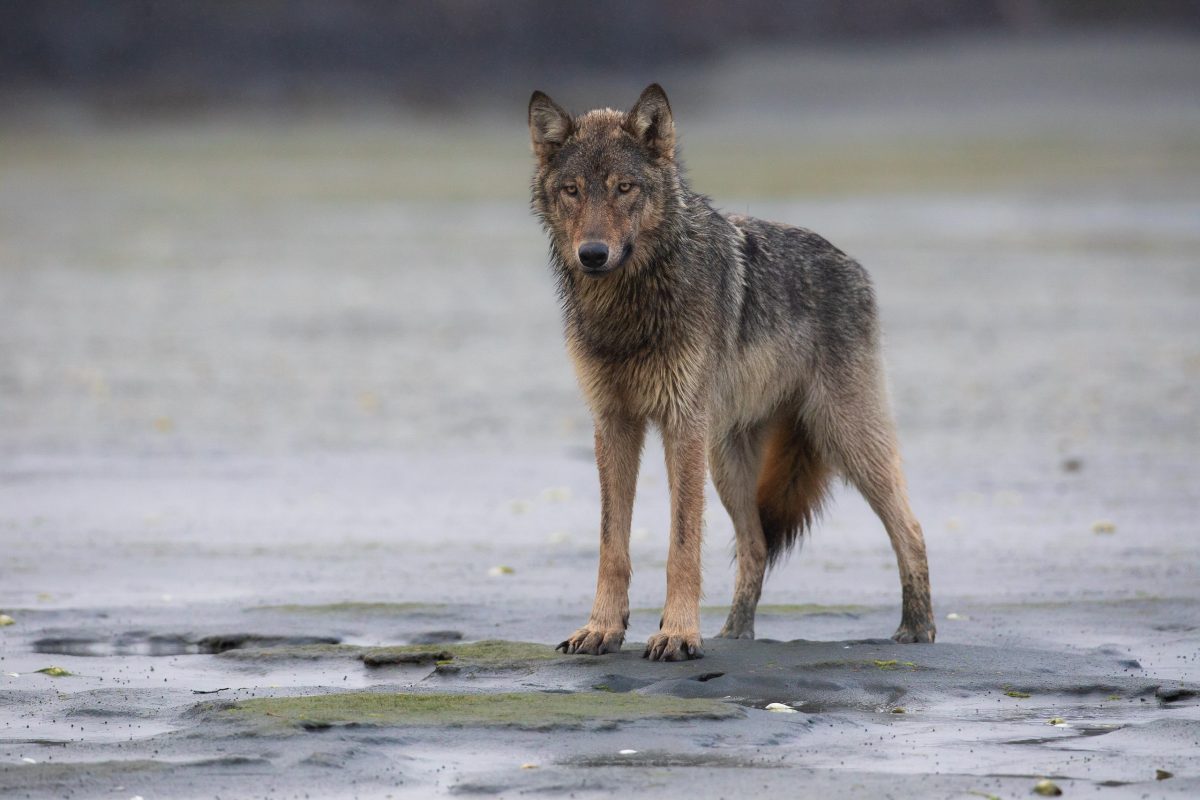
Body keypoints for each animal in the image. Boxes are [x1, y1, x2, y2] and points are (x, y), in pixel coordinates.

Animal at [528, 84, 935, 662]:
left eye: (624, 188)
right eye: (572, 191)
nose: (593, 254)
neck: (631, 304)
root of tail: (852, 264)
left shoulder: (682, 426)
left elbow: (681, 544)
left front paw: (677, 634)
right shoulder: (613, 424)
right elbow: (612, 544)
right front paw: (602, 628)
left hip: (844, 437)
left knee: (911, 526)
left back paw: (917, 628)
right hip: (729, 462)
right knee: (757, 546)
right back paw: (735, 633)